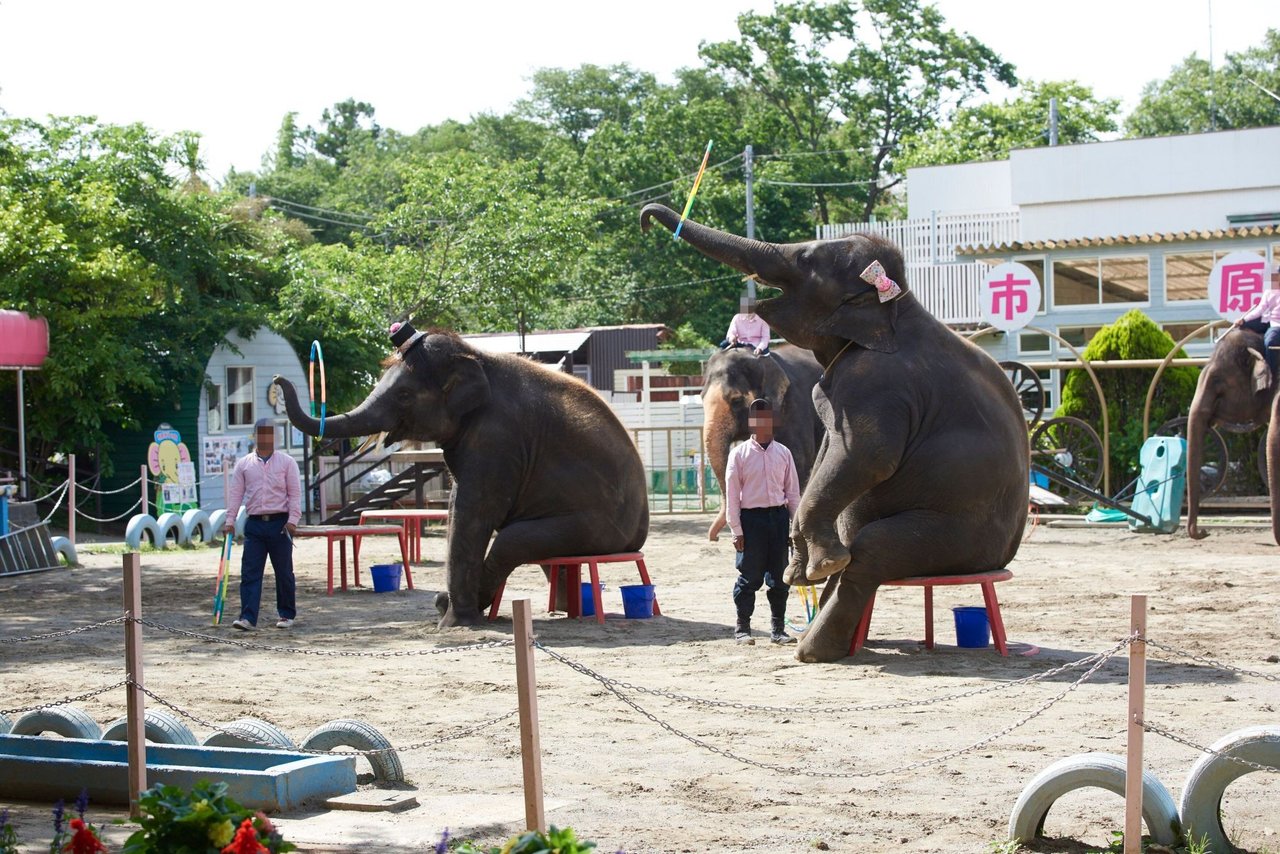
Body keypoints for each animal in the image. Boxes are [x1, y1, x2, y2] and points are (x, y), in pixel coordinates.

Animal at [272, 323, 650, 624]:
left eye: (404, 394)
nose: (277, 380)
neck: (477, 356)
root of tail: (637, 537)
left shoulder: (497, 438)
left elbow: (474, 512)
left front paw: (454, 625)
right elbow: (456, 507)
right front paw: (451, 614)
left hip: (598, 530)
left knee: (512, 541)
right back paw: (562, 610)